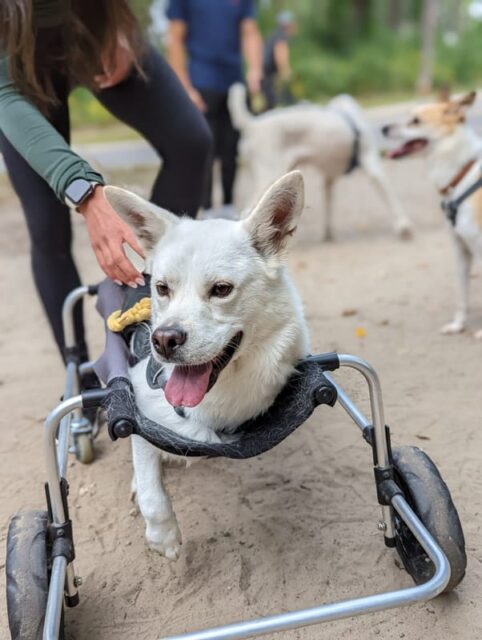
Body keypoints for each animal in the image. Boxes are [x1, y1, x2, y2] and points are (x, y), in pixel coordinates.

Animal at [104, 171, 310, 560]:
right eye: (162, 288)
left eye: (221, 289)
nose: (164, 340)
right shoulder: (135, 405)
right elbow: (150, 484)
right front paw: (164, 535)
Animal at [227, 84, 410, 241]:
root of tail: (252, 125)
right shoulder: (373, 166)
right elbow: (391, 197)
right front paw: (403, 226)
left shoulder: (329, 178)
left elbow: (328, 204)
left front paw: (328, 233)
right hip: (270, 177)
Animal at [382, 92, 482, 338]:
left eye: (415, 121)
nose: (383, 128)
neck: (463, 174)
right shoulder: (461, 250)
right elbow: (461, 294)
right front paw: (458, 325)